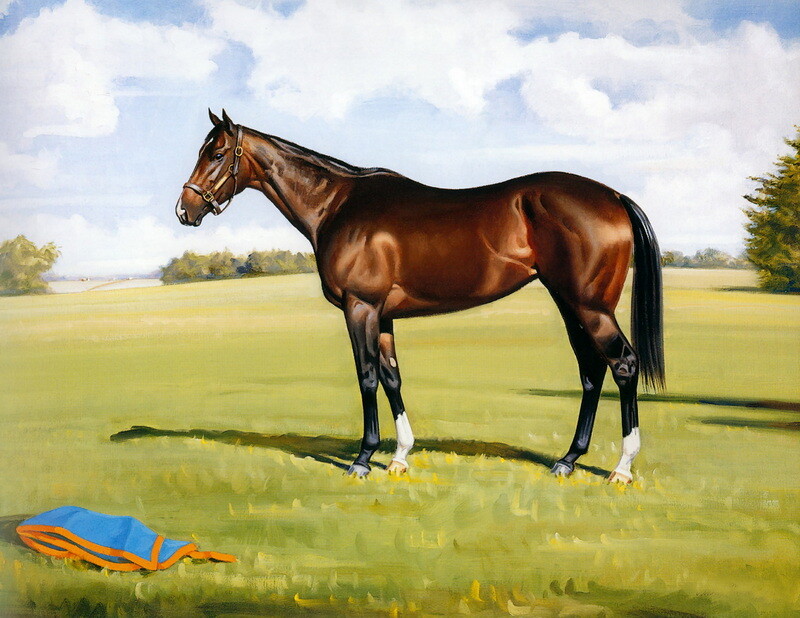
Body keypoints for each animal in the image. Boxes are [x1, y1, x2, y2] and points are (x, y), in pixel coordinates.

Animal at [176, 109, 664, 484]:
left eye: (216, 154)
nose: (185, 210)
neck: (337, 205)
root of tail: (613, 196)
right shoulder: (384, 315)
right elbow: (392, 377)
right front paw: (399, 456)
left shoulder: (360, 307)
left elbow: (367, 377)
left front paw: (362, 459)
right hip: (569, 303)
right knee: (591, 372)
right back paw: (567, 460)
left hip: (590, 306)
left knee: (623, 364)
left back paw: (621, 468)